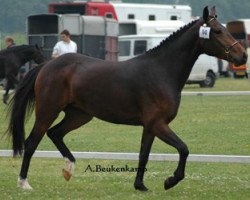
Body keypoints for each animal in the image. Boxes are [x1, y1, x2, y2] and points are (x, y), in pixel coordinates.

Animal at [7, 6, 246, 191]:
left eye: (225, 28)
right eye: (217, 31)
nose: (242, 56)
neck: (161, 71)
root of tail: (47, 65)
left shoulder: (150, 126)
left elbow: (144, 155)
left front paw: (140, 186)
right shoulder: (157, 123)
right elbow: (183, 149)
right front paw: (170, 181)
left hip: (79, 115)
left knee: (55, 133)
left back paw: (69, 168)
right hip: (48, 110)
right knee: (32, 142)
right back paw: (24, 183)